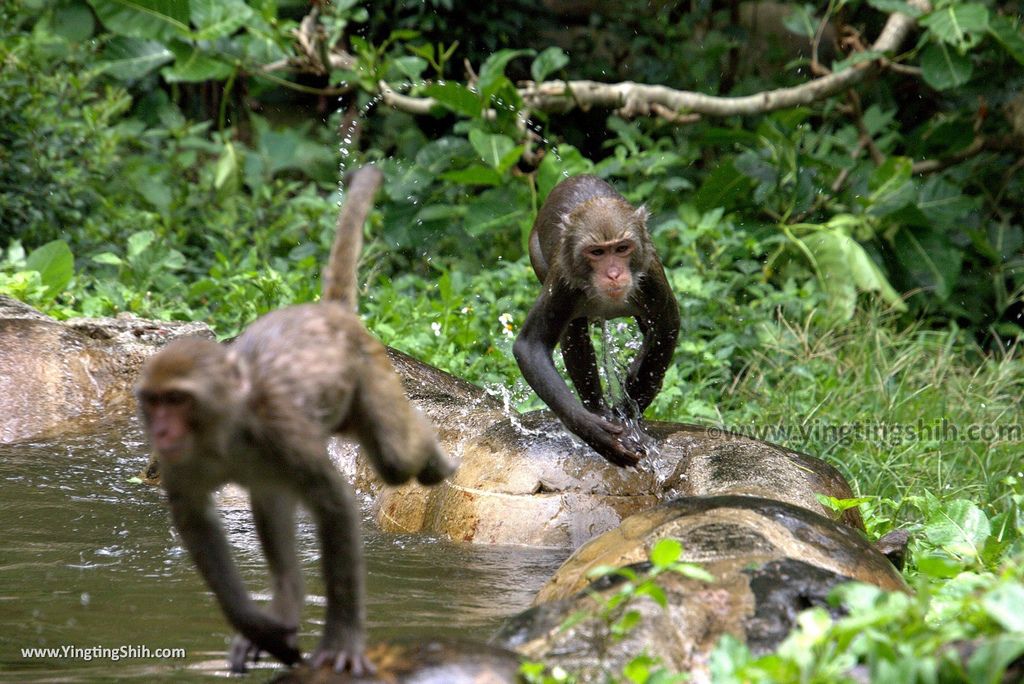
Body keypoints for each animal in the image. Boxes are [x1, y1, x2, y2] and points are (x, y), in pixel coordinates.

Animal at [133, 166, 452, 671]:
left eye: (178, 400)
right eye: (153, 401)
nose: (162, 431)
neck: (226, 432)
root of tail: (331, 312)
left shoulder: (284, 434)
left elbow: (336, 505)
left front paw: (341, 639)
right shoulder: (185, 463)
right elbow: (196, 523)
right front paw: (259, 626)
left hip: (367, 377)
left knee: (395, 458)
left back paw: (432, 455)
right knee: (271, 498)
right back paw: (284, 606)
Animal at [512, 174, 679, 466]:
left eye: (622, 248)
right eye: (597, 252)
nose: (613, 274)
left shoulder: (651, 276)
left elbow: (665, 328)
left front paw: (630, 411)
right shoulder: (564, 281)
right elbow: (531, 346)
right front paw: (597, 432)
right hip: (537, 255)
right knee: (574, 330)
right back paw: (597, 409)